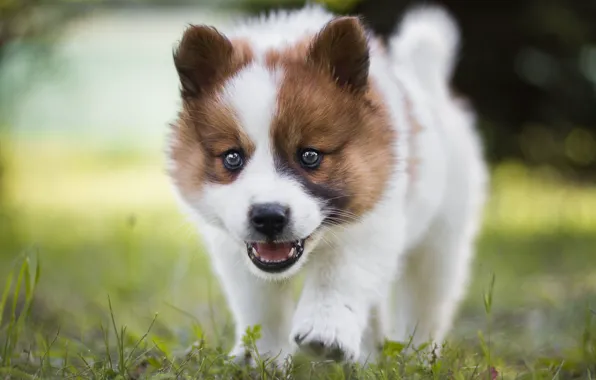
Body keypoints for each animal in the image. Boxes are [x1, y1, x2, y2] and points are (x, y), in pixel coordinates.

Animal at [166, 3, 488, 366]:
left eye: (310, 156)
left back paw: (416, 356)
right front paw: (262, 356)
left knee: (425, 300)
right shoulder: (233, 249)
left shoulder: (371, 225)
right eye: (232, 158)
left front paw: (325, 330)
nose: (268, 217)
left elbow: (338, 277)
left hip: (440, 243)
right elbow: (261, 304)